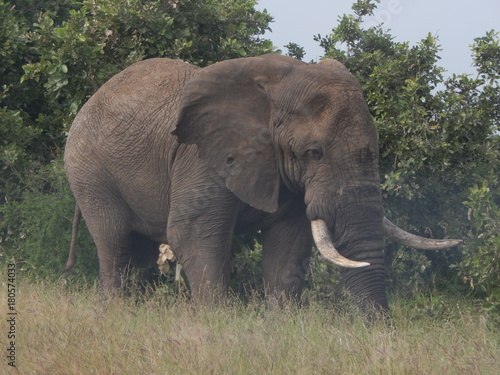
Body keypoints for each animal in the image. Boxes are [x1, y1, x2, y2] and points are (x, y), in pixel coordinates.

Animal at [64, 55, 462, 314]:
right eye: (313, 153)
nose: (382, 330)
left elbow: (289, 243)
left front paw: (281, 323)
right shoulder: (203, 158)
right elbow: (193, 234)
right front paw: (218, 323)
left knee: (140, 252)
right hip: (89, 172)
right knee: (115, 243)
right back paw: (116, 311)